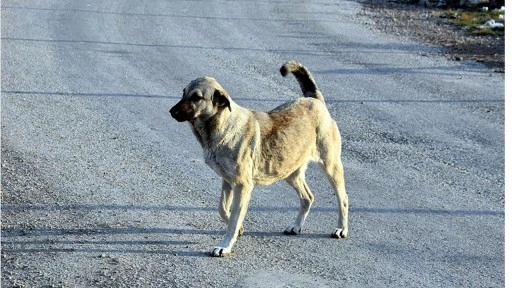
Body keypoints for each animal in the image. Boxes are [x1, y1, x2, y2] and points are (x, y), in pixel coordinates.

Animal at [170, 60, 350, 256]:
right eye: (183, 93)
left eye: (196, 97)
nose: (171, 111)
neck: (223, 125)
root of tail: (315, 99)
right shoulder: (227, 182)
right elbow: (223, 209)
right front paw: (239, 229)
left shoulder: (242, 186)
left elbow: (233, 219)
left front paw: (225, 245)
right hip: (289, 172)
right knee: (307, 197)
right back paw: (296, 226)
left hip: (330, 167)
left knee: (343, 198)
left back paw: (342, 229)